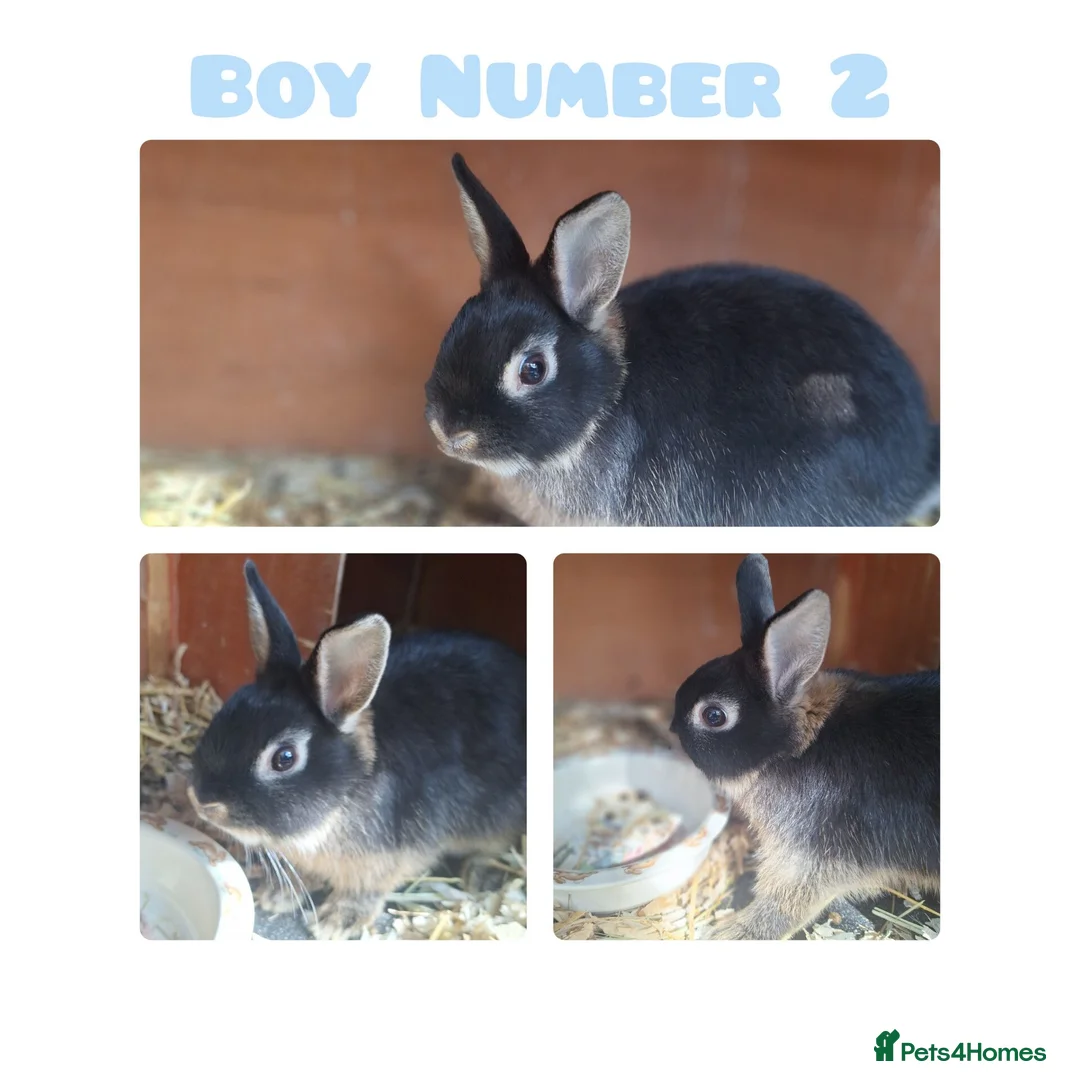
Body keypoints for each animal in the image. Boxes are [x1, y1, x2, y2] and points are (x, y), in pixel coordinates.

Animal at [187, 560, 527, 940]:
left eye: (284, 758)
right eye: (225, 711)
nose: (202, 801)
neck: (340, 803)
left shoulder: (390, 859)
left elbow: (366, 890)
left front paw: (334, 922)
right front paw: (277, 896)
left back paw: (483, 875)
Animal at [668, 554, 939, 939]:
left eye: (714, 716)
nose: (671, 727)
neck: (796, 747)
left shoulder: (813, 856)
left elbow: (787, 904)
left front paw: (732, 933)